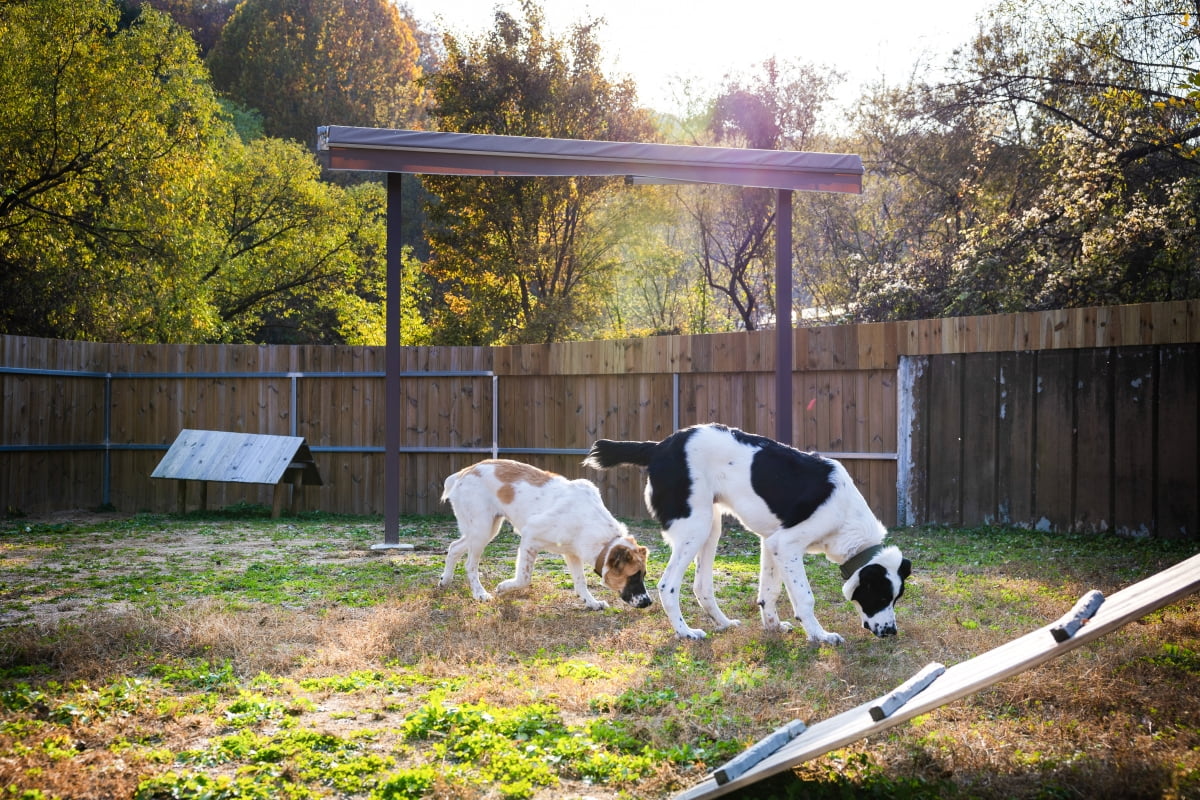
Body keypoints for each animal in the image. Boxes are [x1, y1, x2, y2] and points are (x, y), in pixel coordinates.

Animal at [439, 460, 652, 609]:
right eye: (633, 576)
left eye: (643, 575)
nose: (648, 602)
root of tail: (464, 472)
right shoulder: (529, 537)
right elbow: (524, 578)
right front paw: (503, 588)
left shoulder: (572, 552)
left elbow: (580, 582)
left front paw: (591, 603)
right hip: (482, 529)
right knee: (470, 564)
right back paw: (479, 593)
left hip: (485, 529)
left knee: (454, 547)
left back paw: (445, 581)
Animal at [580, 424, 907, 642]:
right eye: (879, 596)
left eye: (896, 599)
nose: (891, 632)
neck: (846, 516)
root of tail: (658, 446)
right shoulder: (788, 546)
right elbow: (805, 598)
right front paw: (820, 636)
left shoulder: (772, 544)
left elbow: (769, 593)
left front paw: (773, 627)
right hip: (695, 527)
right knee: (667, 585)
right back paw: (685, 632)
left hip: (710, 527)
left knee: (702, 586)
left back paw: (723, 623)